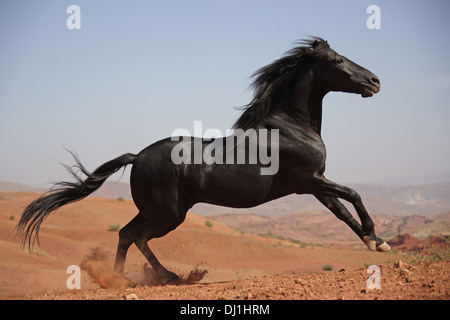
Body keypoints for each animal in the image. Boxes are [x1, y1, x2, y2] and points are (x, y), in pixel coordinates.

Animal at [16, 37, 390, 282]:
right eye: (337, 61)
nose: (375, 81)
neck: (290, 126)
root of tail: (137, 156)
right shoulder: (308, 180)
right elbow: (354, 194)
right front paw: (378, 238)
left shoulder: (314, 185)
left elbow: (342, 212)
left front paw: (375, 243)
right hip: (169, 214)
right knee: (137, 236)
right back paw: (163, 277)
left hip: (158, 209)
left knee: (125, 233)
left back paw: (124, 279)